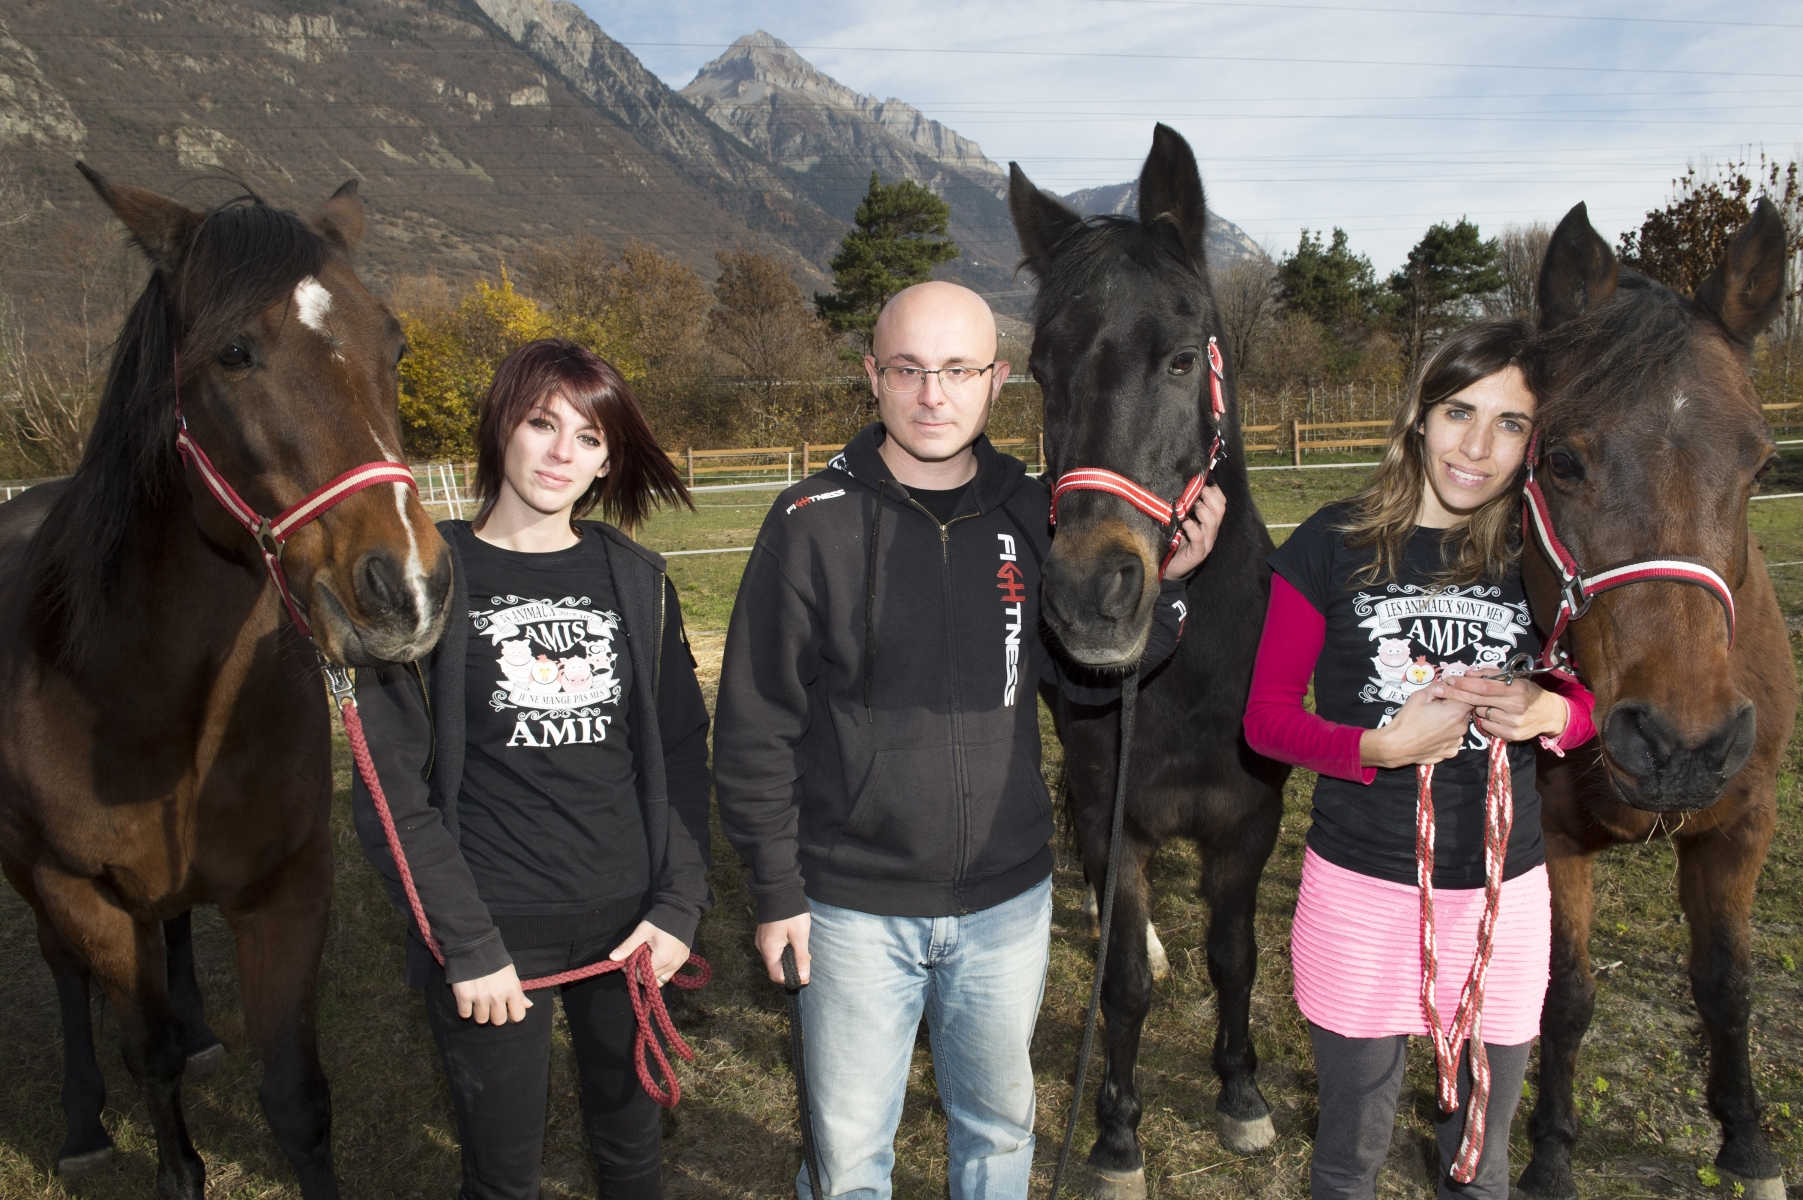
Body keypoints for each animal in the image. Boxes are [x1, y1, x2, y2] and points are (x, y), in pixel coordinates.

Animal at [0, 168, 448, 1196]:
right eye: (235, 353)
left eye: (395, 343)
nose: (405, 586)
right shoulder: (83, 894)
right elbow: (148, 1058)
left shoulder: (286, 888)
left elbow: (297, 1099)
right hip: (28, 873)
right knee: (64, 976)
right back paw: (82, 1123)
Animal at [1016, 126, 1298, 1189]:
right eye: (1038, 371)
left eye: (1182, 359)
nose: (1090, 597)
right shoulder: (1114, 818)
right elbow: (1126, 987)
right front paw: (1116, 1136)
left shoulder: (1247, 825)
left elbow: (1236, 958)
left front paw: (1242, 1095)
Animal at [1514, 198, 1795, 1196]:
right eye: (1560, 459)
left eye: (1759, 466)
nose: (1679, 747)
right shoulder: (1551, 836)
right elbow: (1564, 994)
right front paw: (1550, 1149)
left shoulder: (1741, 822)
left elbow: (1725, 983)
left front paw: (1744, 1138)